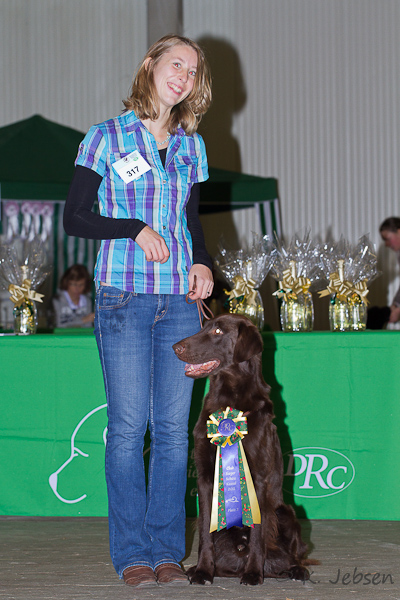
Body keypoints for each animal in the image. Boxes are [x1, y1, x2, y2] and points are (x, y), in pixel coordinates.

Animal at [173, 313, 310, 586]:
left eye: (217, 331)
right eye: (203, 327)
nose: (175, 348)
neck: (229, 400)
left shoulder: (259, 480)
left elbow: (258, 534)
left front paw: (254, 572)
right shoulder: (206, 478)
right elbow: (205, 533)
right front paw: (203, 571)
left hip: (286, 513)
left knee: (294, 552)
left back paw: (295, 570)